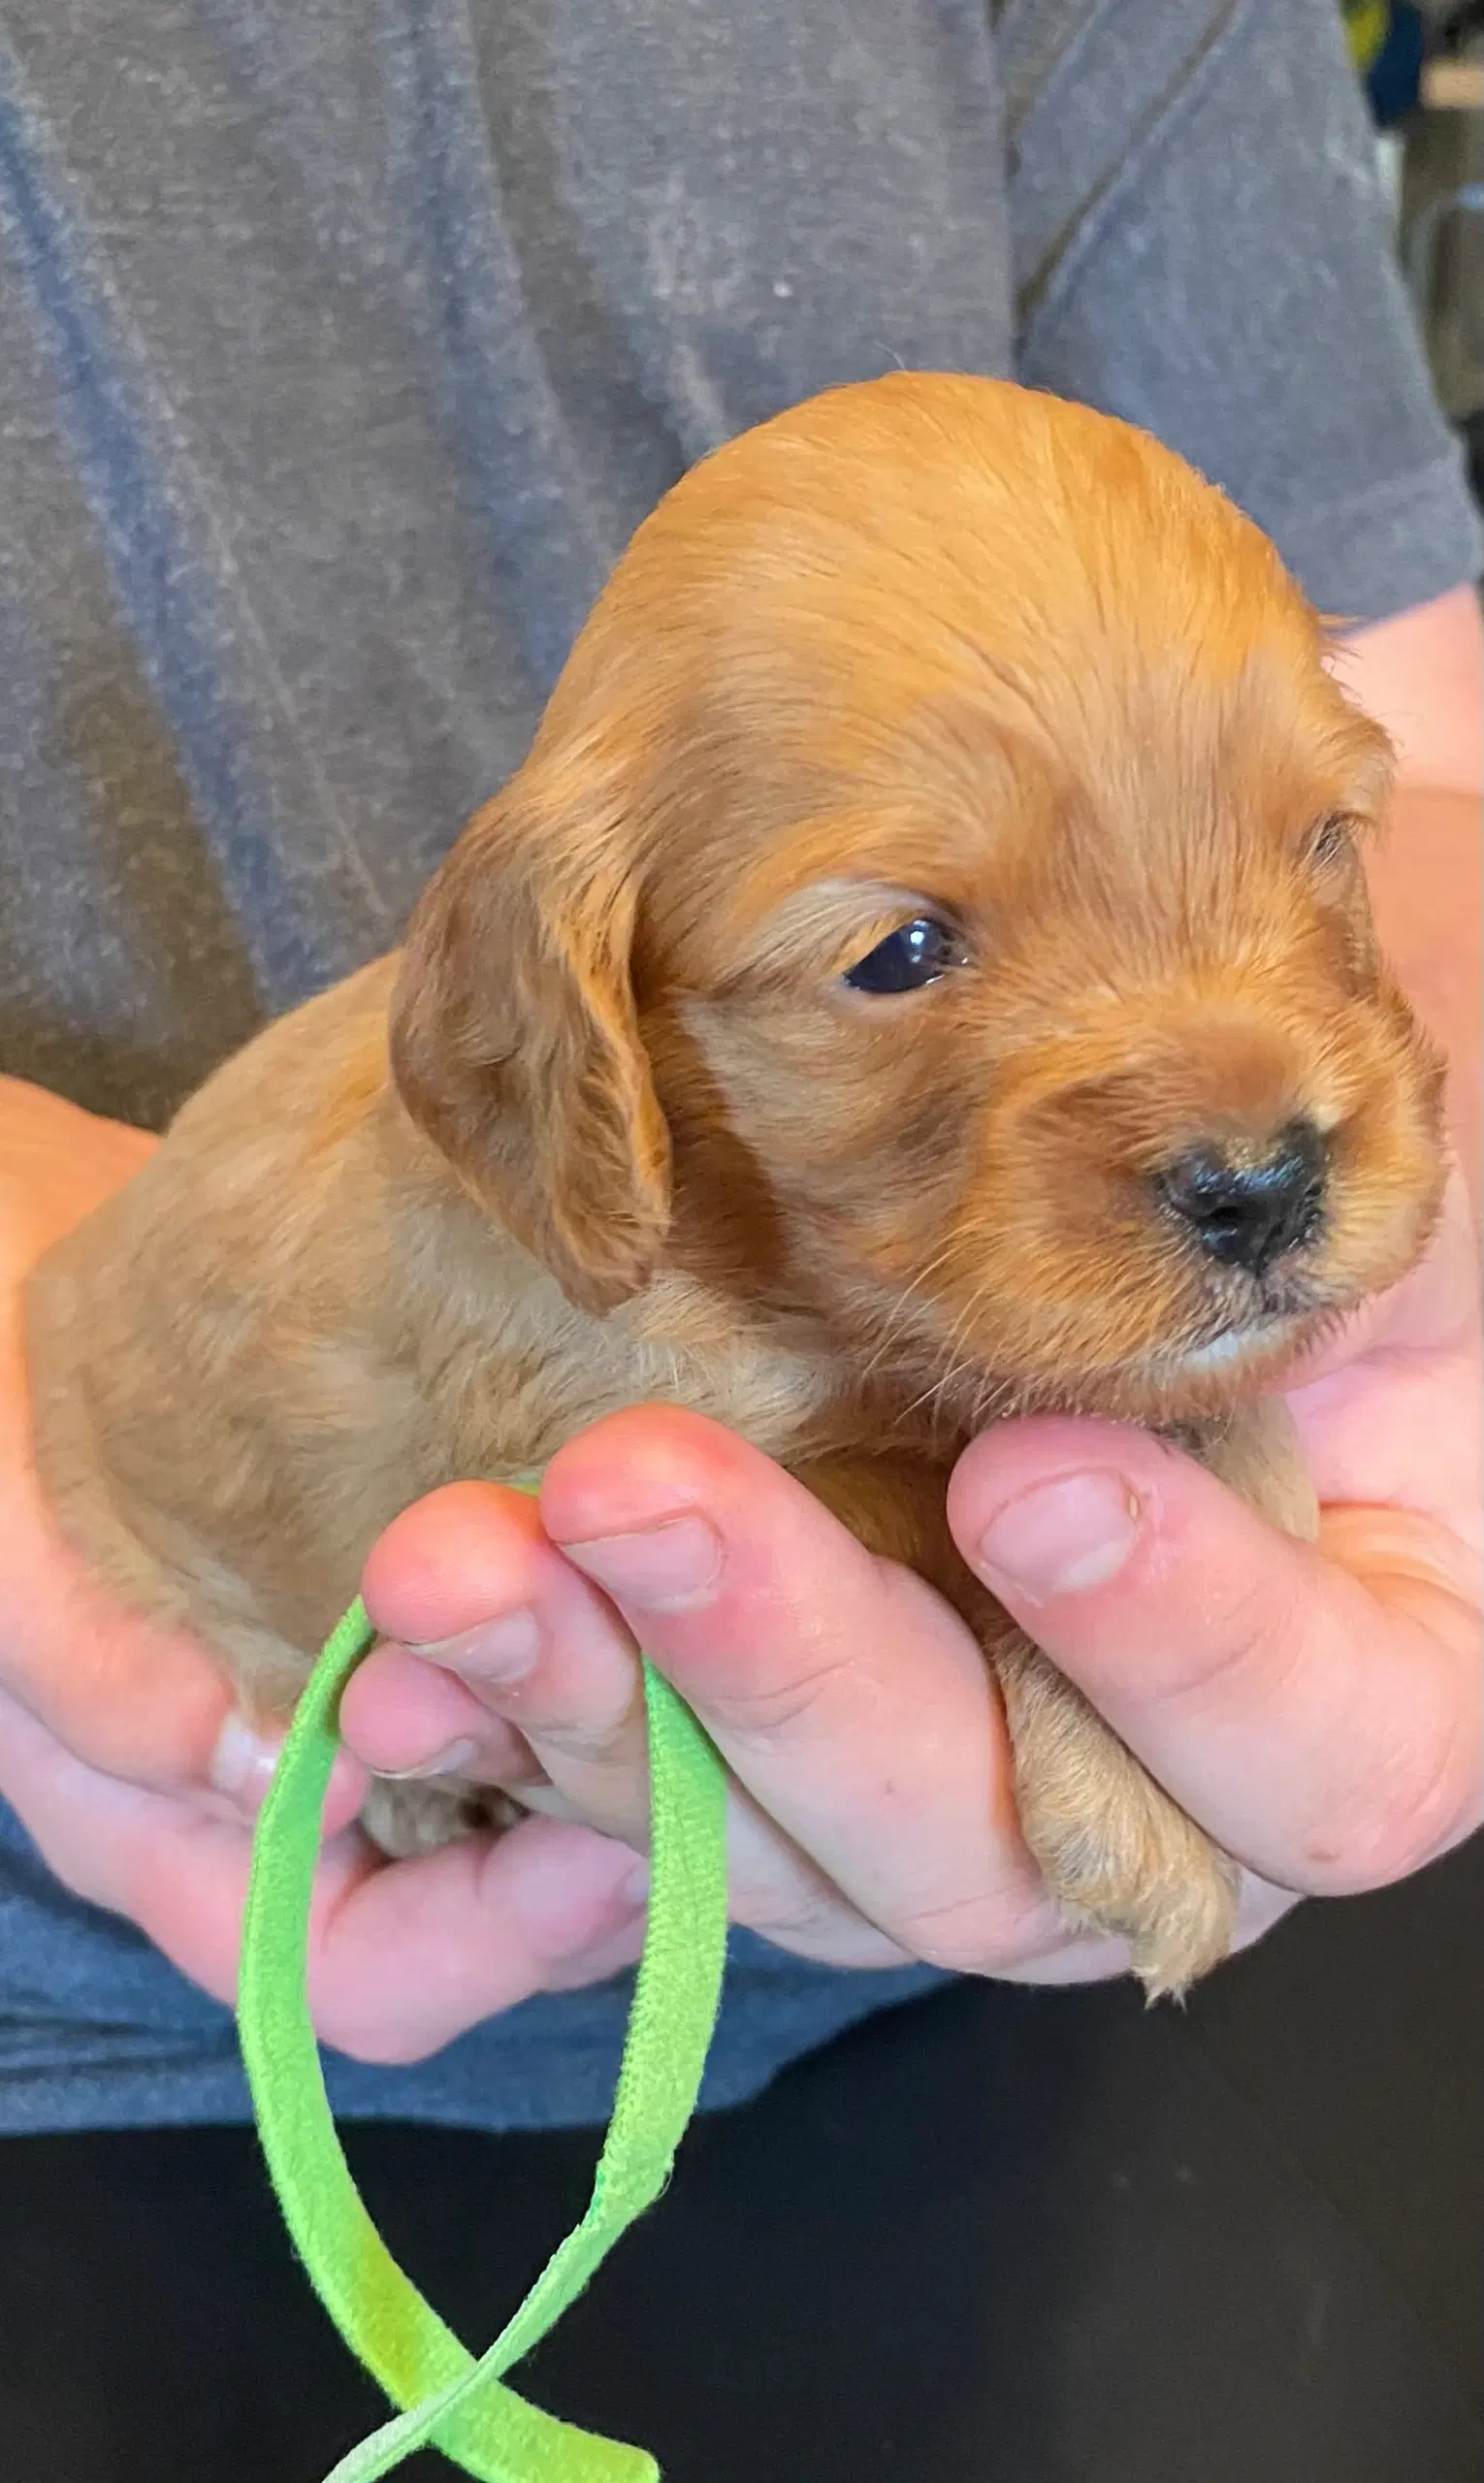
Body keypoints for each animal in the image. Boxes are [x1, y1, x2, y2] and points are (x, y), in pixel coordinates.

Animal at [22, 372, 1449, 1996]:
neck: (749, 1250)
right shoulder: (588, 1458)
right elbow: (924, 1485)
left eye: (1323, 839)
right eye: (898, 955)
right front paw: (1122, 1769)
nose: (1263, 1185)